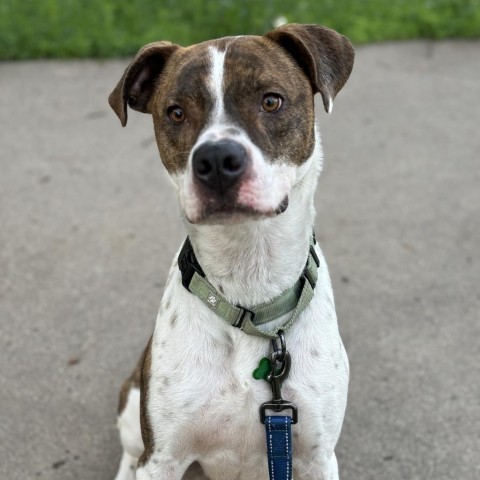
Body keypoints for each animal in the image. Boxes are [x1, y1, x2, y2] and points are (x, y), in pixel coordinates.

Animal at [110, 23, 354, 480]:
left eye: (271, 100)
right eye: (175, 112)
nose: (217, 159)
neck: (249, 283)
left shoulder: (316, 455)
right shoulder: (161, 457)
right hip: (133, 408)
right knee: (128, 454)